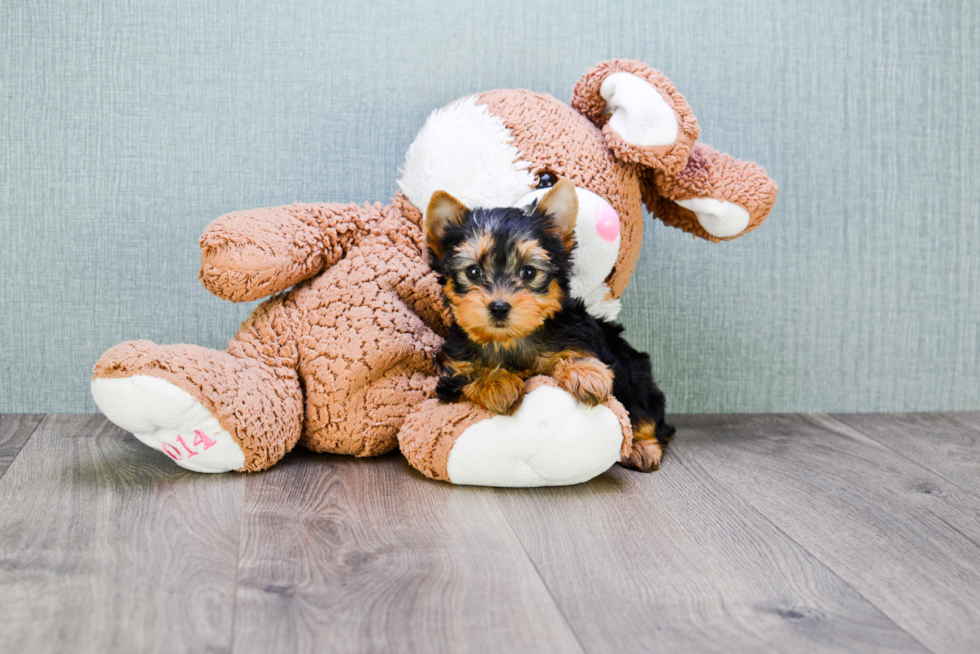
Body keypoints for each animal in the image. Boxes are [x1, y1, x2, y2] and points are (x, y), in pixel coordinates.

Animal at [424, 182, 676, 474]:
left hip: (635, 371)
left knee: (645, 411)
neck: (510, 339)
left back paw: (643, 448)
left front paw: (586, 373)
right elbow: (468, 377)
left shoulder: (579, 333)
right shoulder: (452, 373)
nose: (499, 307)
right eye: (473, 272)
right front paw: (497, 383)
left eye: (529, 272)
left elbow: (575, 351)